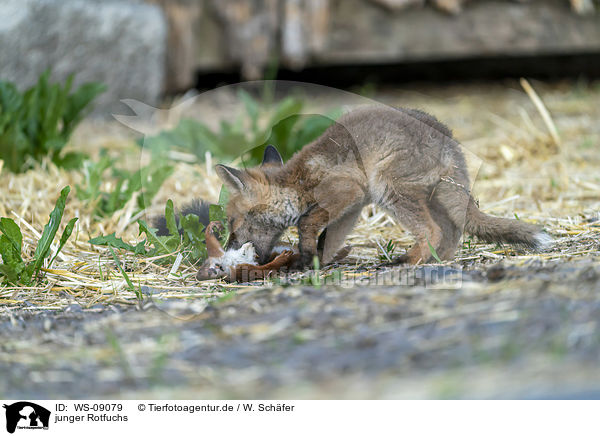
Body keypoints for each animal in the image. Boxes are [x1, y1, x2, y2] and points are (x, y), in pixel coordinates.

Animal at [216, 106, 552, 270]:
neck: (299, 181)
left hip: (390, 188)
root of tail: (450, 143)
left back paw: (407, 262)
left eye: (233, 222)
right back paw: (434, 260)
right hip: (431, 198)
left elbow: (308, 223)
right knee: (450, 235)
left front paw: (305, 259)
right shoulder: (352, 208)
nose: (229, 248)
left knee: (432, 232)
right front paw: (315, 262)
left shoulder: (346, 192)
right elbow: (329, 240)